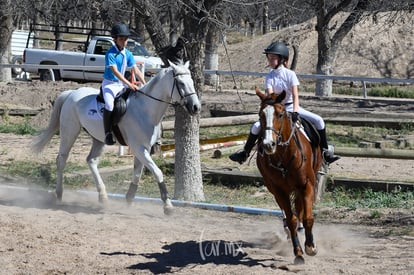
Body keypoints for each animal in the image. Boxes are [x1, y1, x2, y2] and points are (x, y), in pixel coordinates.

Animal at [32, 61, 201, 215]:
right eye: (180, 83)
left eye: (192, 82)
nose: (196, 107)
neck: (146, 110)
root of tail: (71, 93)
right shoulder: (139, 148)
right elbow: (157, 172)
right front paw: (168, 206)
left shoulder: (143, 149)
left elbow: (137, 175)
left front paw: (128, 200)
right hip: (70, 132)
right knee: (61, 160)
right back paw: (59, 194)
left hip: (98, 139)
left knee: (91, 160)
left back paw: (103, 196)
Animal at [256, 88, 324, 266]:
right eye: (260, 115)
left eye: (280, 114)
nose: (268, 145)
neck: (284, 156)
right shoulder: (280, 191)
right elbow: (291, 219)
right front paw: (298, 253)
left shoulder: (307, 185)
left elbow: (308, 218)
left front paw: (310, 247)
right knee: (289, 216)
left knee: (301, 210)